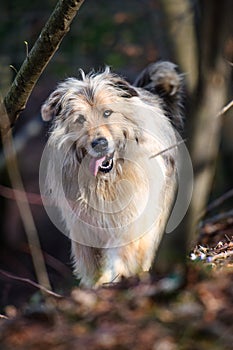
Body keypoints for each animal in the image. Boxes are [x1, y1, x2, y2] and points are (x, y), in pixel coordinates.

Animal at [41, 62, 183, 288]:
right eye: (80, 119)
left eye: (107, 113)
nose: (99, 143)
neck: (106, 181)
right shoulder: (84, 229)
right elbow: (93, 264)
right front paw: (97, 285)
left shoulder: (132, 218)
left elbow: (125, 250)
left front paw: (121, 276)